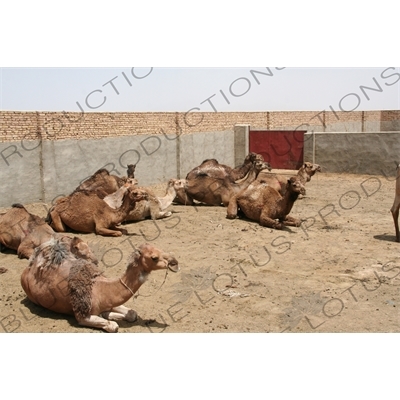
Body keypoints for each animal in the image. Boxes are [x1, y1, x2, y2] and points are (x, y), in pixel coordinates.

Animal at [19, 241, 180, 332]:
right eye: (154, 257)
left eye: (160, 250)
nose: (175, 263)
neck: (100, 288)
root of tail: (29, 267)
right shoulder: (81, 315)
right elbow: (113, 326)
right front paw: (110, 319)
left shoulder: (110, 301)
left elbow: (132, 313)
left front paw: (111, 314)